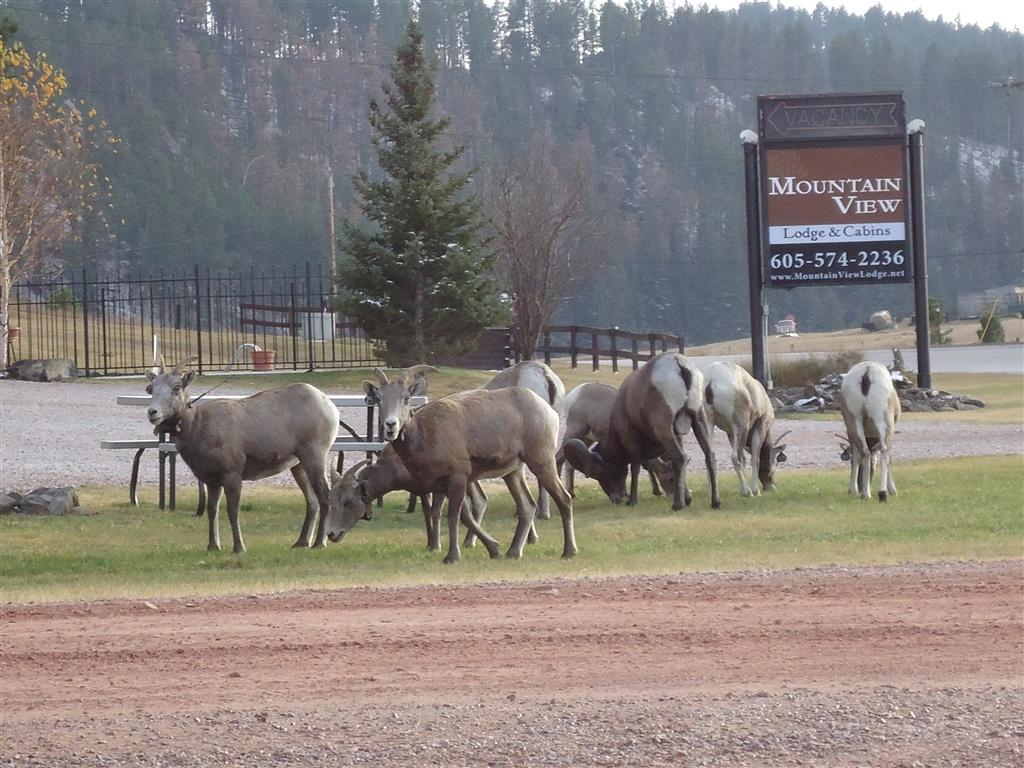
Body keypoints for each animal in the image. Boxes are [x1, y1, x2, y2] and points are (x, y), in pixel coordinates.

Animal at [144, 354, 337, 552]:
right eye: (151, 389)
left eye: (177, 387)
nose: (153, 412)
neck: (199, 426)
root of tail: (328, 404)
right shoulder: (212, 481)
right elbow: (212, 510)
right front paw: (213, 546)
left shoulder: (232, 476)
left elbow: (232, 511)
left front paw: (239, 548)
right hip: (298, 465)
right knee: (312, 501)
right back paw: (301, 542)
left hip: (314, 456)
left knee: (325, 498)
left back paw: (319, 544)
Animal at [561, 354, 720, 512]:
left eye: (599, 473)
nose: (617, 499)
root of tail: (678, 364)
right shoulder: (678, 435)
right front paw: (687, 498)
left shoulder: (630, 440)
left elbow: (635, 467)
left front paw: (632, 501)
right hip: (698, 420)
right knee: (709, 456)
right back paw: (715, 502)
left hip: (663, 428)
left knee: (680, 457)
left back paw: (677, 505)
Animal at [835, 362, 901, 505]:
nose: (860, 486)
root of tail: (867, 372)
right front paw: (893, 490)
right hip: (884, 420)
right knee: (883, 450)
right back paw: (881, 493)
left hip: (855, 420)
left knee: (865, 452)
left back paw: (866, 494)